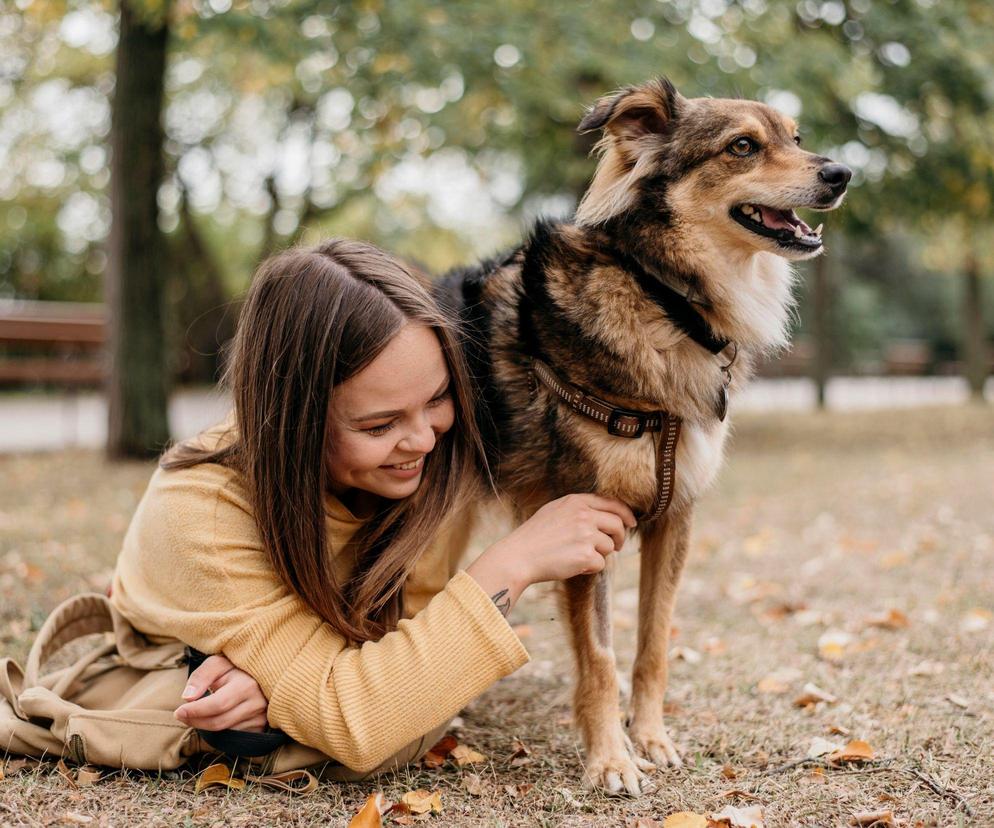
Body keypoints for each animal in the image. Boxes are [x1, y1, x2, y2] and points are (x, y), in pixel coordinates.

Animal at [436, 77, 852, 796]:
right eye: (743, 146)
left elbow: (652, 642)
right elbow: (601, 656)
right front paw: (610, 760)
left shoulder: (676, 516)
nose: (842, 173)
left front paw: (652, 740)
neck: (666, 300)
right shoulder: (584, 525)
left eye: (796, 138)